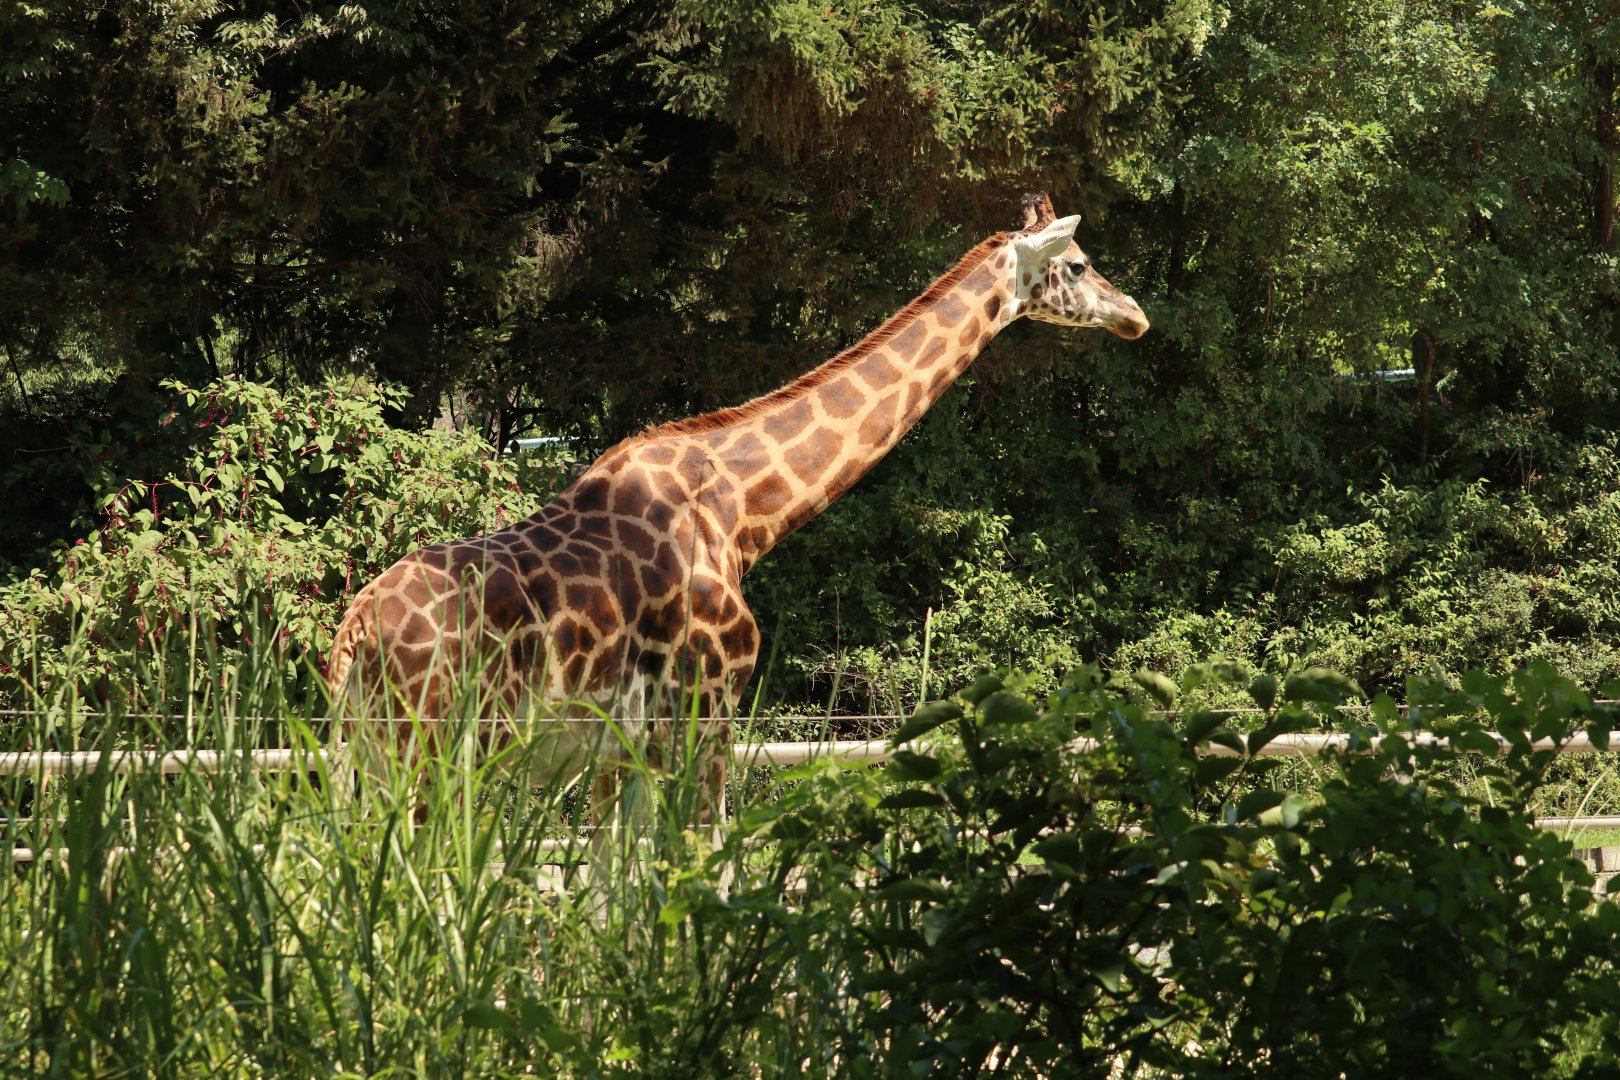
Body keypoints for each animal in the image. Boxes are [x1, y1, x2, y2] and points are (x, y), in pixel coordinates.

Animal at [325, 193, 1148, 824]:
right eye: (1079, 264)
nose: (1135, 315)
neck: (746, 511)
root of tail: (353, 635)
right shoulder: (710, 704)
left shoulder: (624, 745)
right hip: (433, 749)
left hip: (369, 751)